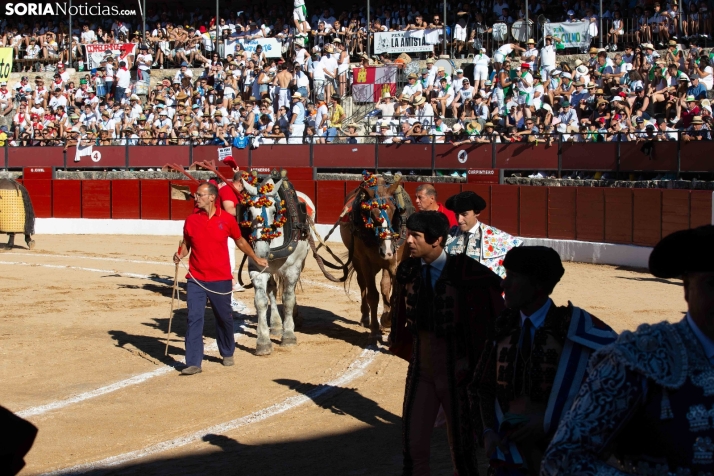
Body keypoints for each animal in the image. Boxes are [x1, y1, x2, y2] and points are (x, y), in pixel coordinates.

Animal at [241, 173, 308, 356]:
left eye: (273, 211)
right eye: (249, 211)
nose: (261, 251)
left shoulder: (292, 270)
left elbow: (288, 299)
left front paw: (289, 335)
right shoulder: (257, 270)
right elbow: (261, 301)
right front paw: (263, 341)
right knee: (271, 290)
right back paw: (276, 325)